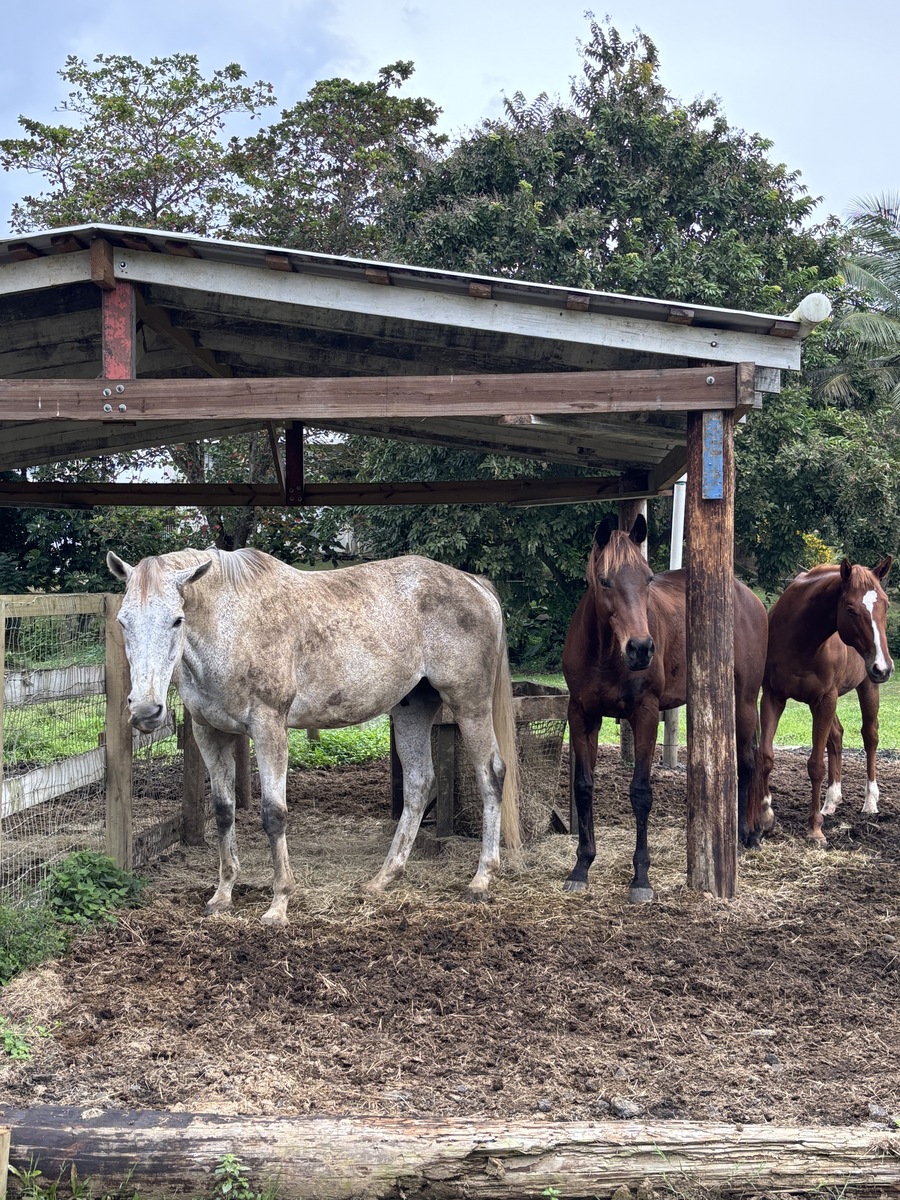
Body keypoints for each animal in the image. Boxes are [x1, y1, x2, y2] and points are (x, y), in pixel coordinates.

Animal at [106, 547, 521, 924]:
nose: (145, 711)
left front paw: (279, 904)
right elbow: (223, 811)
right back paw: (382, 879)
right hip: (412, 709)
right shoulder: (209, 733)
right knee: (420, 784)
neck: (233, 626)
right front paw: (222, 895)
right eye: (123, 622)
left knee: (491, 774)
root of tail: (474, 584)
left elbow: (274, 815)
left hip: (469, 704)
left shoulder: (269, 727)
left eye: (177, 620)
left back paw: (481, 879)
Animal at [561, 515, 768, 902]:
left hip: (745, 702)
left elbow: (641, 793)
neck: (604, 655)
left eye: (647, 578)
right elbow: (583, 787)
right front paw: (582, 866)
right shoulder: (582, 715)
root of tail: (749, 597)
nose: (641, 648)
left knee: (747, 763)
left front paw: (641, 878)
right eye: (604, 580)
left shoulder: (645, 714)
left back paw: (743, 836)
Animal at [756, 556, 893, 844]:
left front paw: (815, 829)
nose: (884, 667)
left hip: (866, 688)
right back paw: (830, 802)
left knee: (870, 736)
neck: (801, 640)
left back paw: (870, 802)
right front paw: (765, 818)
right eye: (850, 608)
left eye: (886, 604)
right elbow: (766, 756)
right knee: (837, 736)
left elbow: (816, 765)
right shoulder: (773, 697)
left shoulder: (825, 699)